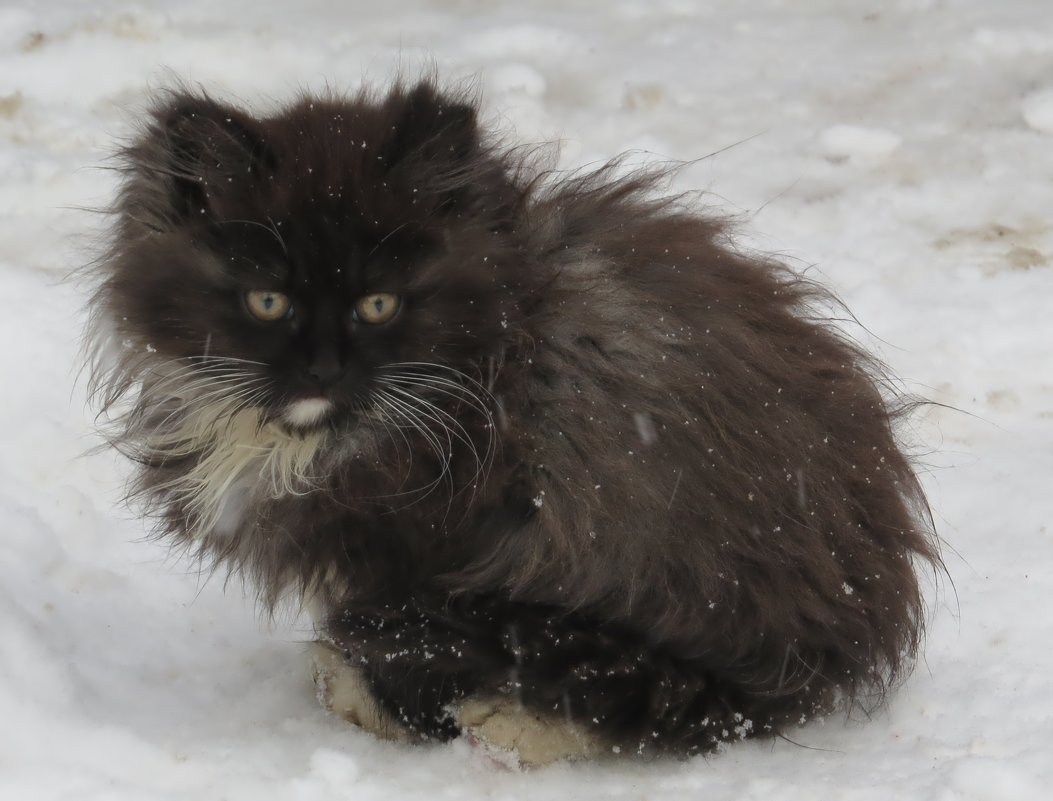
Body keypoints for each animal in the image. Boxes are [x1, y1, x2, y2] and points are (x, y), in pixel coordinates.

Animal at [90, 79, 943, 762]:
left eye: (379, 303)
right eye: (268, 301)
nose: (324, 369)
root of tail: (856, 622)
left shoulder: (425, 546)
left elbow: (404, 647)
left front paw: (388, 707)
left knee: (672, 702)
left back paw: (507, 723)